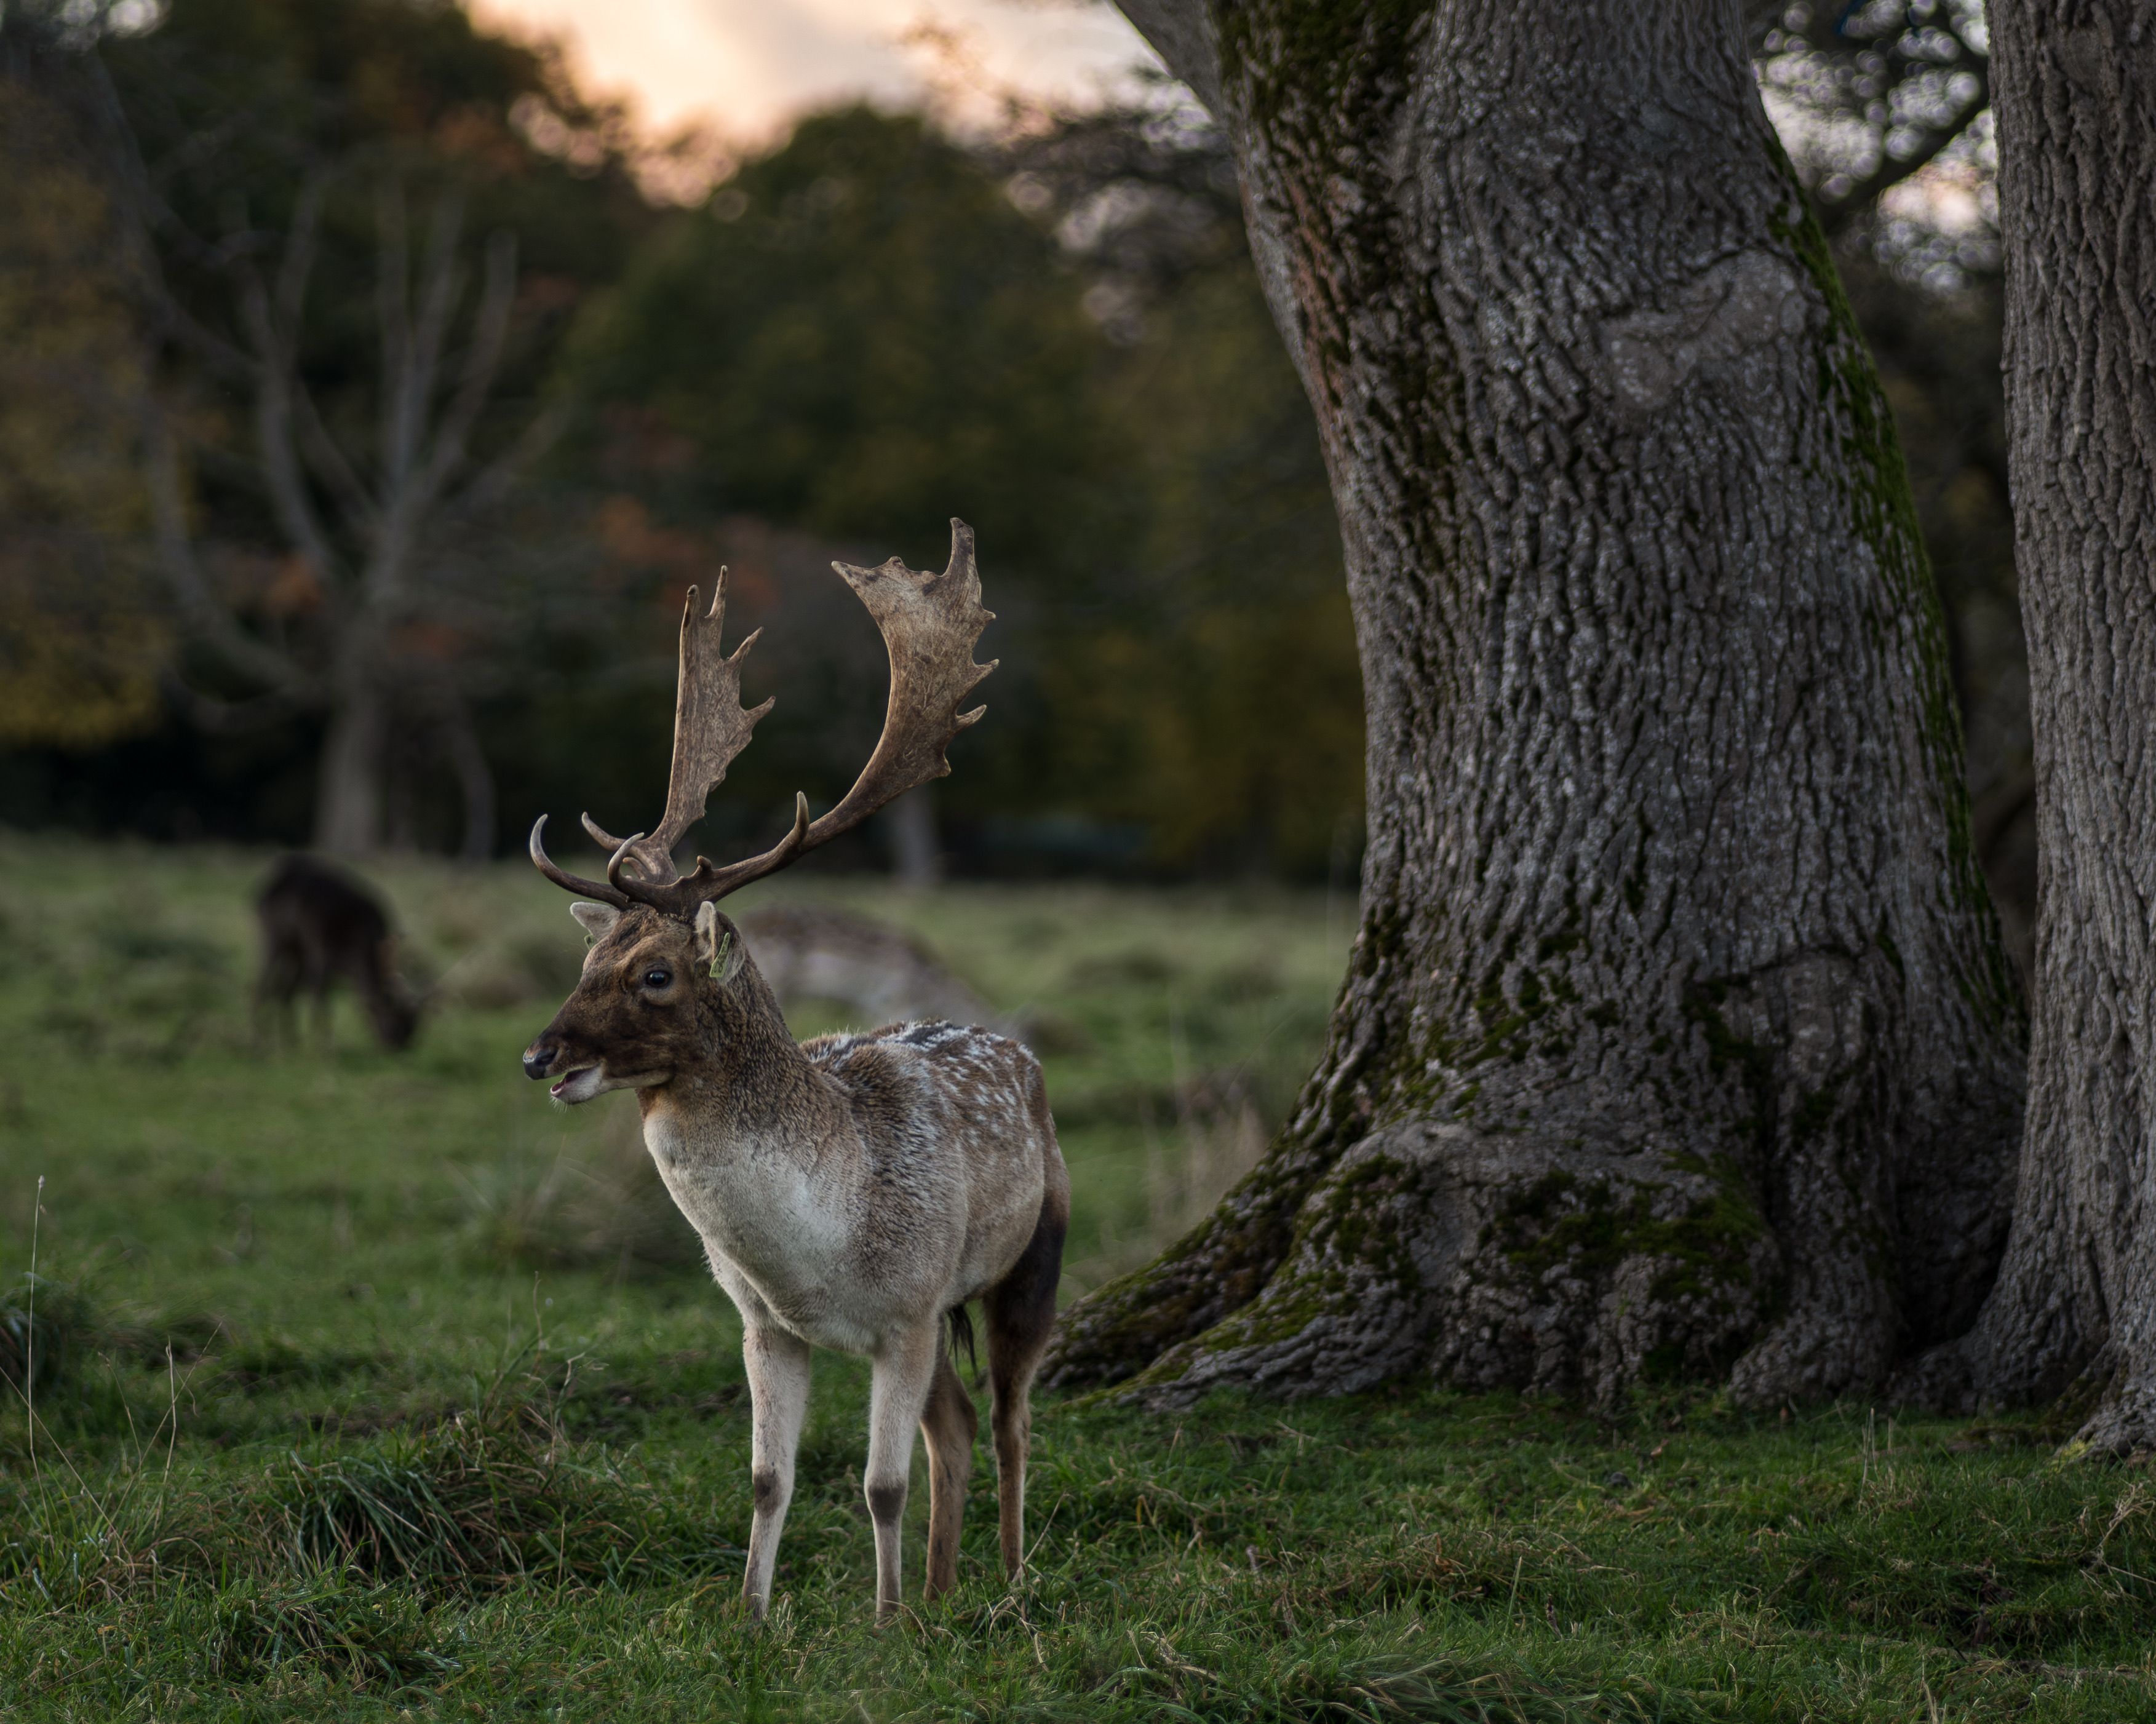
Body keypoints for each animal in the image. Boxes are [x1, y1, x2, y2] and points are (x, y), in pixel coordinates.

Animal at [255, 855, 422, 1051]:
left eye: (413, 1029)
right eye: (396, 1021)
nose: (400, 1048)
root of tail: (266, 889)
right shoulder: (321, 953)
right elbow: (319, 999)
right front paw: (323, 1050)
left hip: (297, 952)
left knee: (283, 992)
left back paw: (290, 1044)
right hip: (274, 938)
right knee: (261, 987)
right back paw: (257, 1042)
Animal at [519, 521, 1068, 1624]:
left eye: (654, 972)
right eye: (587, 959)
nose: (539, 1054)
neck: (823, 1249)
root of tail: (1019, 1050)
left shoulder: (906, 1312)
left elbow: (881, 1480)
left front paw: (885, 1623)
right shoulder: (763, 1323)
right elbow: (770, 1477)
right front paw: (754, 1615)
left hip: (1035, 1251)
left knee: (1011, 1418)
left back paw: (1007, 1580)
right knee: (957, 1425)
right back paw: (943, 1588)